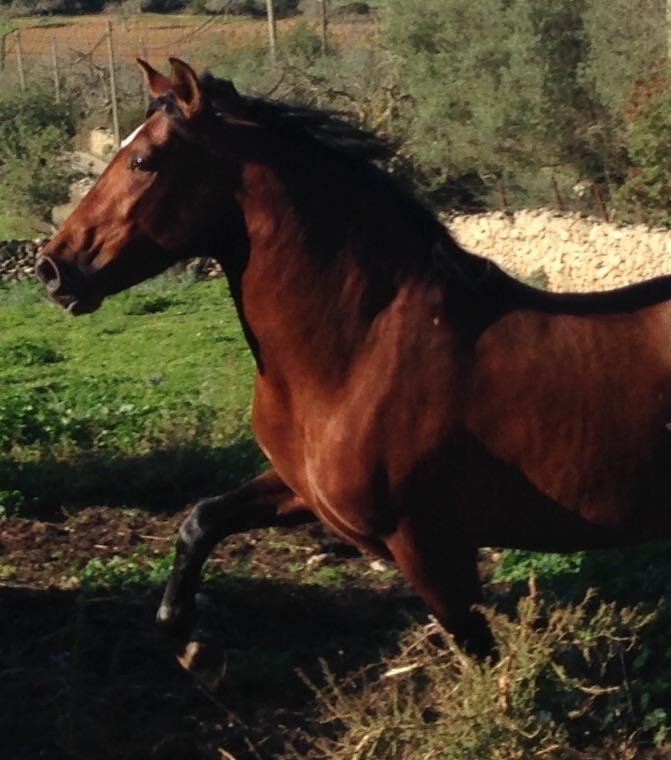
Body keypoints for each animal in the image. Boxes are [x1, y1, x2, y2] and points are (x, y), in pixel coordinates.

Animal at [35, 57, 671, 658]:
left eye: (143, 162)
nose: (52, 268)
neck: (360, 353)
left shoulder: (431, 548)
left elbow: (481, 654)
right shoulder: (302, 490)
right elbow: (203, 518)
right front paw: (183, 633)